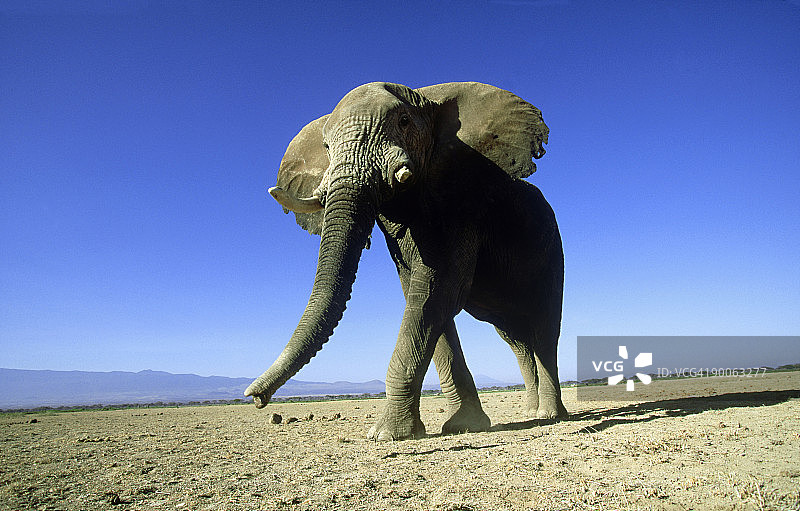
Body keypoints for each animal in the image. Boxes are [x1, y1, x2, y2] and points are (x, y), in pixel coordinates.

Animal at [245, 81, 567, 440]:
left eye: (403, 122)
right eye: (326, 146)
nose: (256, 399)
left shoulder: (463, 205)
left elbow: (438, 293)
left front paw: (385, 435)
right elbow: (423, 297)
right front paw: (464, 426)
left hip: (552, 251)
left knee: (544, 329)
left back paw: (550, 416)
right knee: (516, 339)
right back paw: (531, 414)